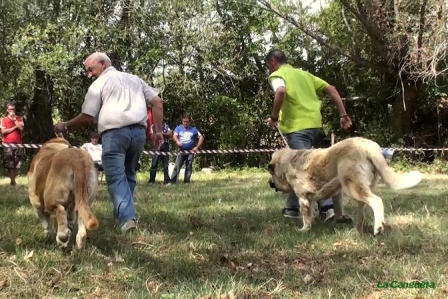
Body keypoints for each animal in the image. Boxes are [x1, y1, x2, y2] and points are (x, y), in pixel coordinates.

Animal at [268, 137, 422, 236]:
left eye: (271, 174)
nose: (269, 183)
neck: (286, 164)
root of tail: (369, 147)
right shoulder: (337, 193)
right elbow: (338, 209)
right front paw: (341, 219)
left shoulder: (304, 199)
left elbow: (306, 217)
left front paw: (304, 230)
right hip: (358, 189)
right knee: (362, 213)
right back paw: (356, 231)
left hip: (352, 186)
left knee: (377, 201)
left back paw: (378, 227)